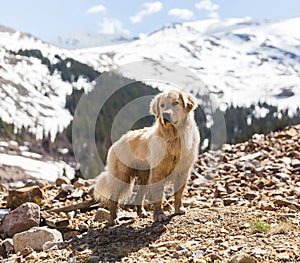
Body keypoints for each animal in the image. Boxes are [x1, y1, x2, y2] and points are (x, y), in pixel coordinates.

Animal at [94, 90, 199, 225]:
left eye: (176, 103)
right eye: (162, 105)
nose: (165, 114)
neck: (174, 137)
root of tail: (117, 142)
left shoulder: (183, 171)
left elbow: (179, 193)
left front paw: (179, 209)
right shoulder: (158, 173)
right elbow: (158, 195)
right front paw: (159, 215)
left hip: (144, 176)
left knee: (139, 195)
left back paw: (142, 213)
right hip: (122, 177)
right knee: (114, 199)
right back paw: (114, 219)